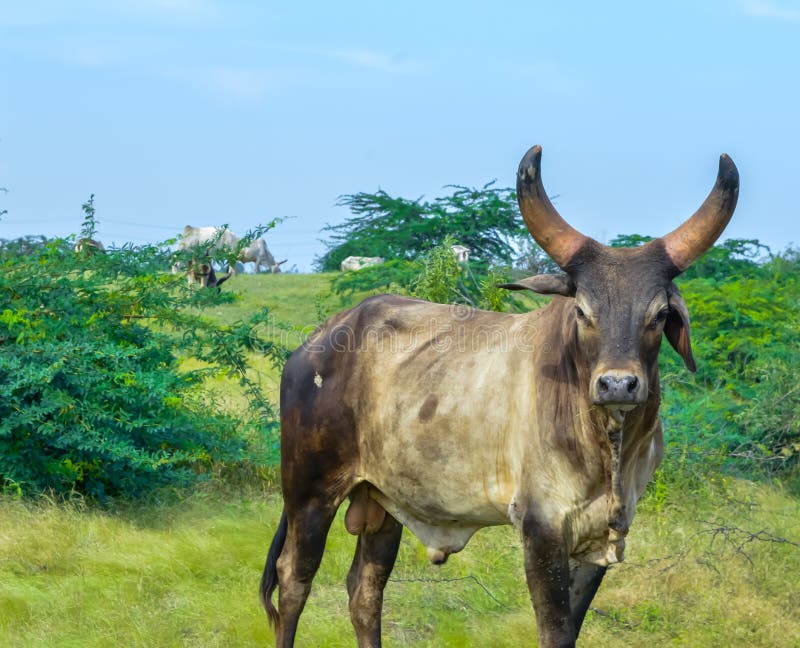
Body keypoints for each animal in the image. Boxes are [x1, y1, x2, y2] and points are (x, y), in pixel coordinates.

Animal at [260, 145, 739, 647]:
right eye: (582, 311)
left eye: (659, 313)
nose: (617, 385)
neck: (606, 445)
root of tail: (315, 342)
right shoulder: (541, 527)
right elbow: (553, 630)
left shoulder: (603, 535)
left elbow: (570, 629)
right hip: (309, 493)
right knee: (294, 580)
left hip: (383, 502)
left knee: (364, 590)